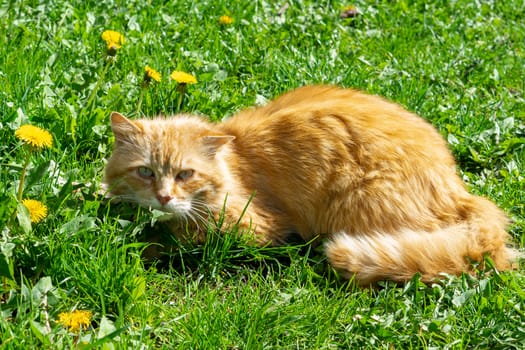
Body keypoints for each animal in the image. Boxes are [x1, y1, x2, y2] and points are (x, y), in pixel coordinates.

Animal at [102, 85, 516, 284]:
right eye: (146, 172)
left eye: (185, 175)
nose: (163, 197)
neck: (235, 164)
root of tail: (458, 190)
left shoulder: (253, 227)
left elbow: (173, 239)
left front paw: (144, 245)